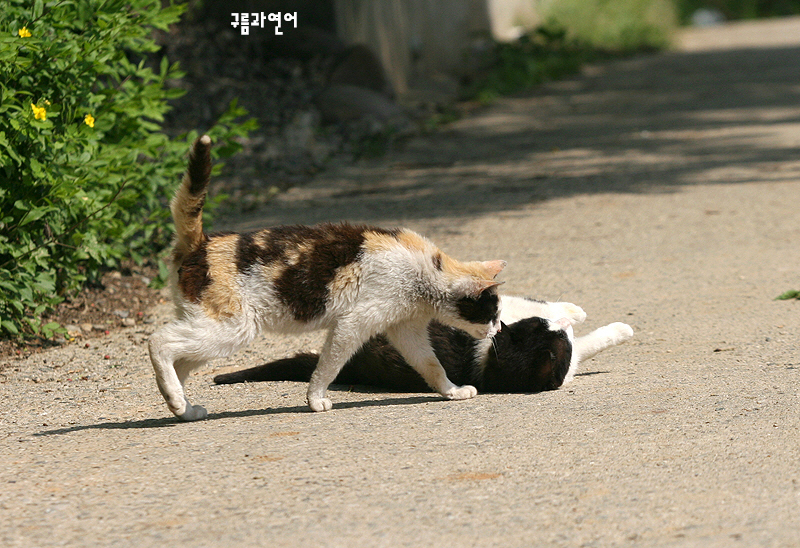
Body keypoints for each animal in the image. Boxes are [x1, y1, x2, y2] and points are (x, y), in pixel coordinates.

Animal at [148, 135, 506, 422]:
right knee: (159, 342)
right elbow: (329, 366)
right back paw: (177, 400)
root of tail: (201, 241)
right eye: (492, 313)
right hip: (232, 328)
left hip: (206, 329)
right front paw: (315, 399)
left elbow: (432, 366)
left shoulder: (407, 331)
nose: (499, 329)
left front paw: (452, 391)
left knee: (179, 362)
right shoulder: (352, 325)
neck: (427, 272)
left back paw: (182, 407)